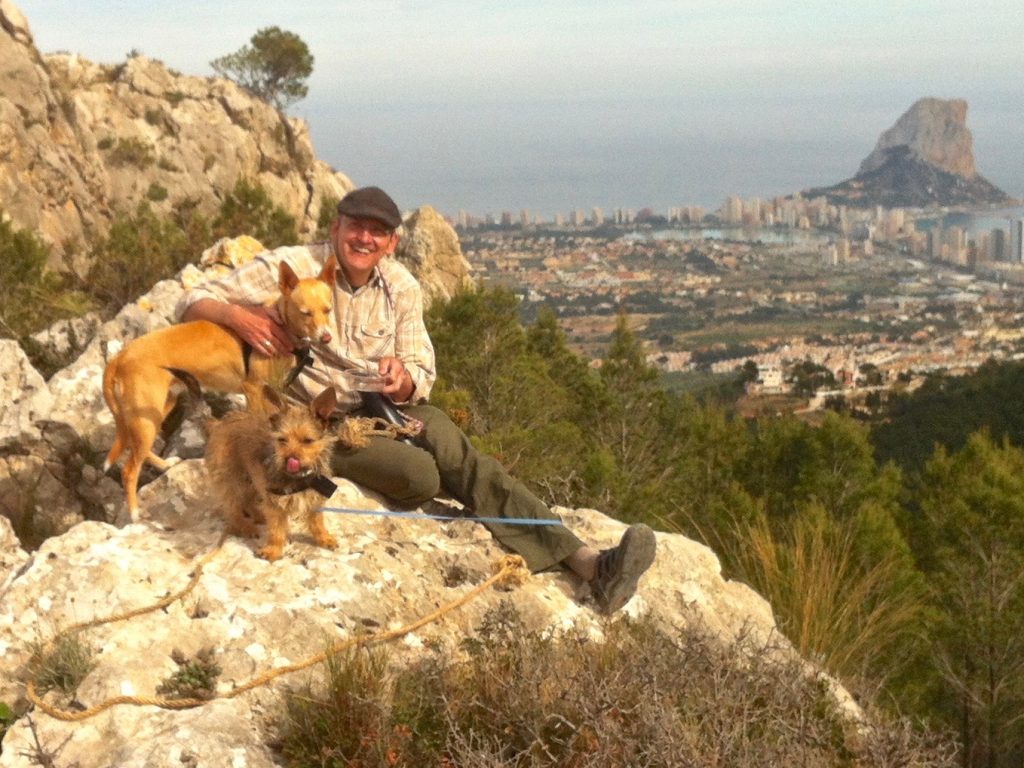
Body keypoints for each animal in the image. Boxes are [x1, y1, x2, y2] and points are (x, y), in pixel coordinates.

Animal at [203, 387, 339, 561]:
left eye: (308, 441)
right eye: (282, 440)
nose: (290, 458)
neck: (300, 478)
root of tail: (220, 423)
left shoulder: (314, 499)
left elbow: (318, 523)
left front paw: (324, 538)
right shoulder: (275, 503)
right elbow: (276, 530)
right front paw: (273, 550)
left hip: (253, 480)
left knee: (249, 502)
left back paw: (259, 516)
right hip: (232, 481)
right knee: (233, 509)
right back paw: (246, 527)